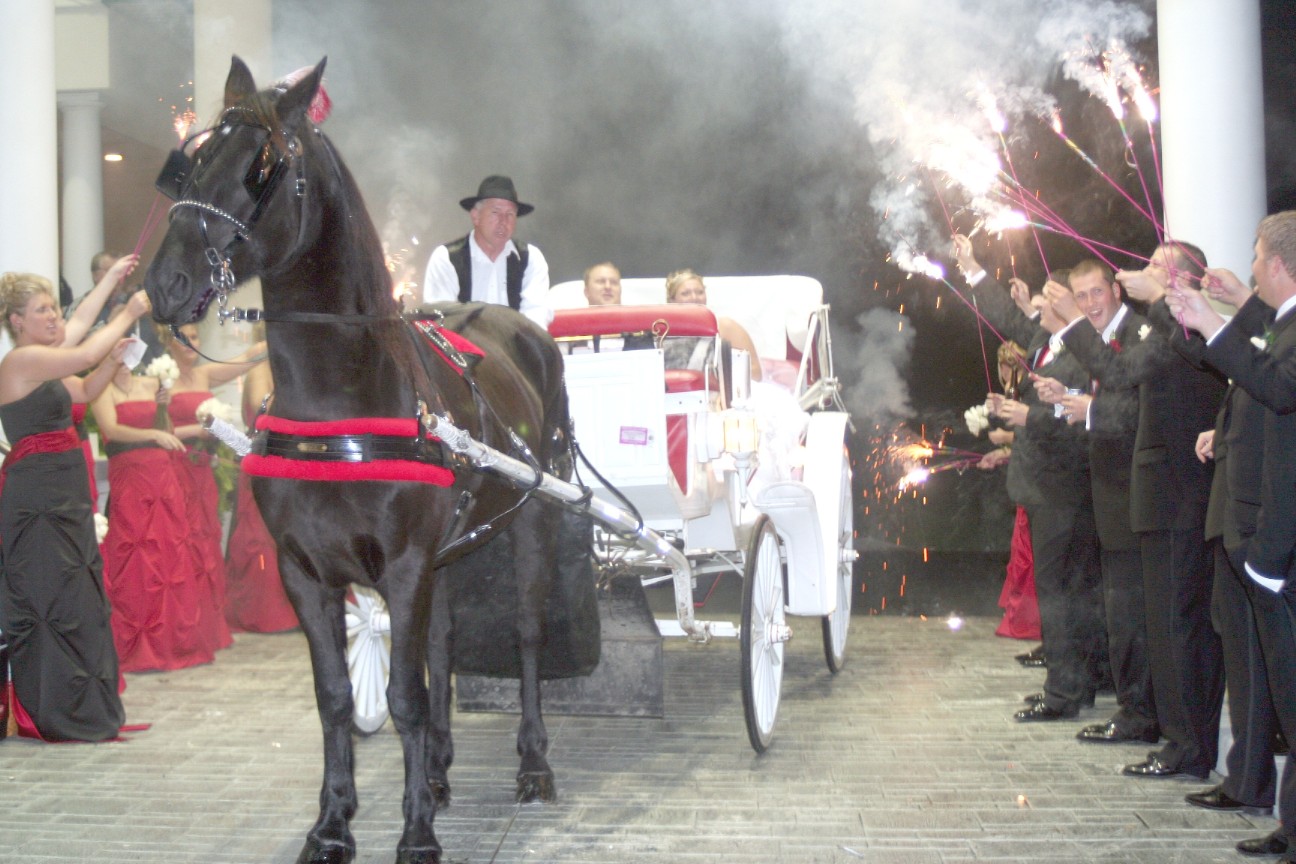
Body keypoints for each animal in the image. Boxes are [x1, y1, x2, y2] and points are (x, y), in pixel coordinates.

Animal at [144, 55, 575, 864]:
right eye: (190, 161)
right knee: (441, 640)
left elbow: (403, 694)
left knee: (527, 635)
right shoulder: (306, 572)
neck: (337, 399)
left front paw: (415, 833)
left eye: (263, 167)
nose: (165, 284)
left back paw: (534, 762)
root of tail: (518, 326)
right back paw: (437, 768)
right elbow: (338, 697)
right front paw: (333, 823)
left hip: (535, 514)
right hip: (447, 553)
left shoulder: (403, 565)